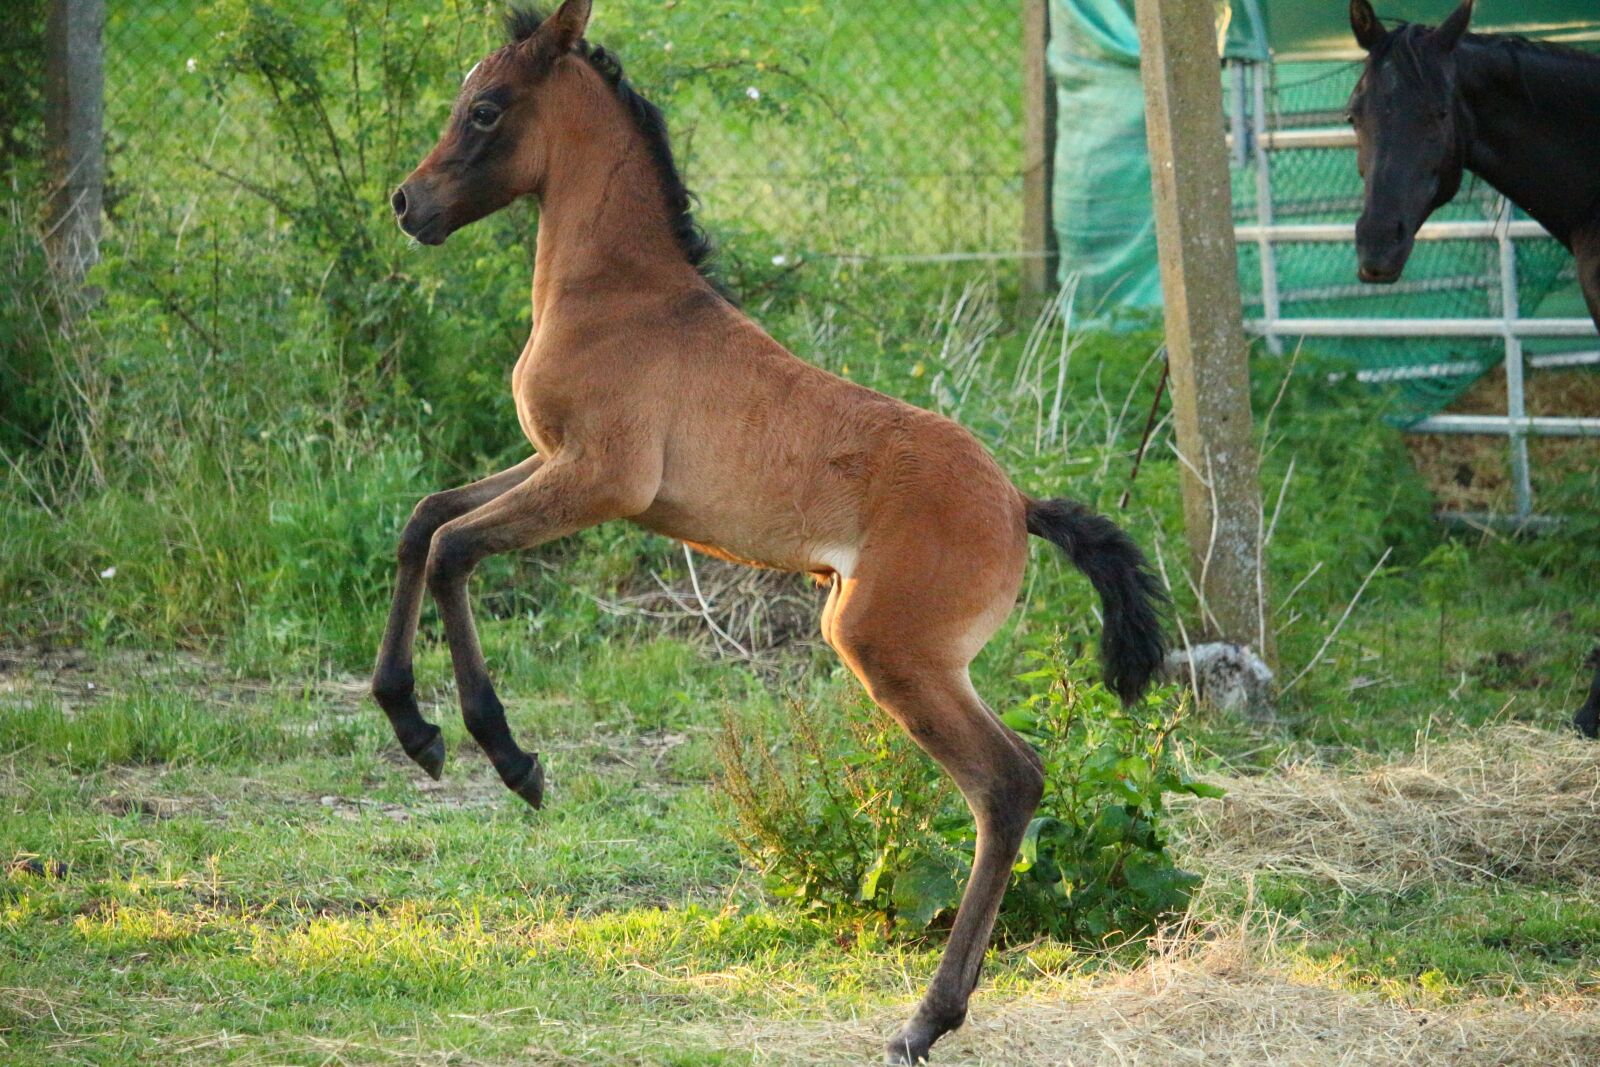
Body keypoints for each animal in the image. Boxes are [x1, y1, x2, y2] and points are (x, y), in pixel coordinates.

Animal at [370, 2, 1166, 1061]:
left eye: (487, 109)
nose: (407, 203)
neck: (619, 296)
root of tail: (1016, 505)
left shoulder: (598, 480)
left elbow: (455, 547)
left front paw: (508, 757)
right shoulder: (550, 463)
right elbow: (425, 521)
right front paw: (413, 728)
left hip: (885, 649)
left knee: (1009, 784)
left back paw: (925, 1018)